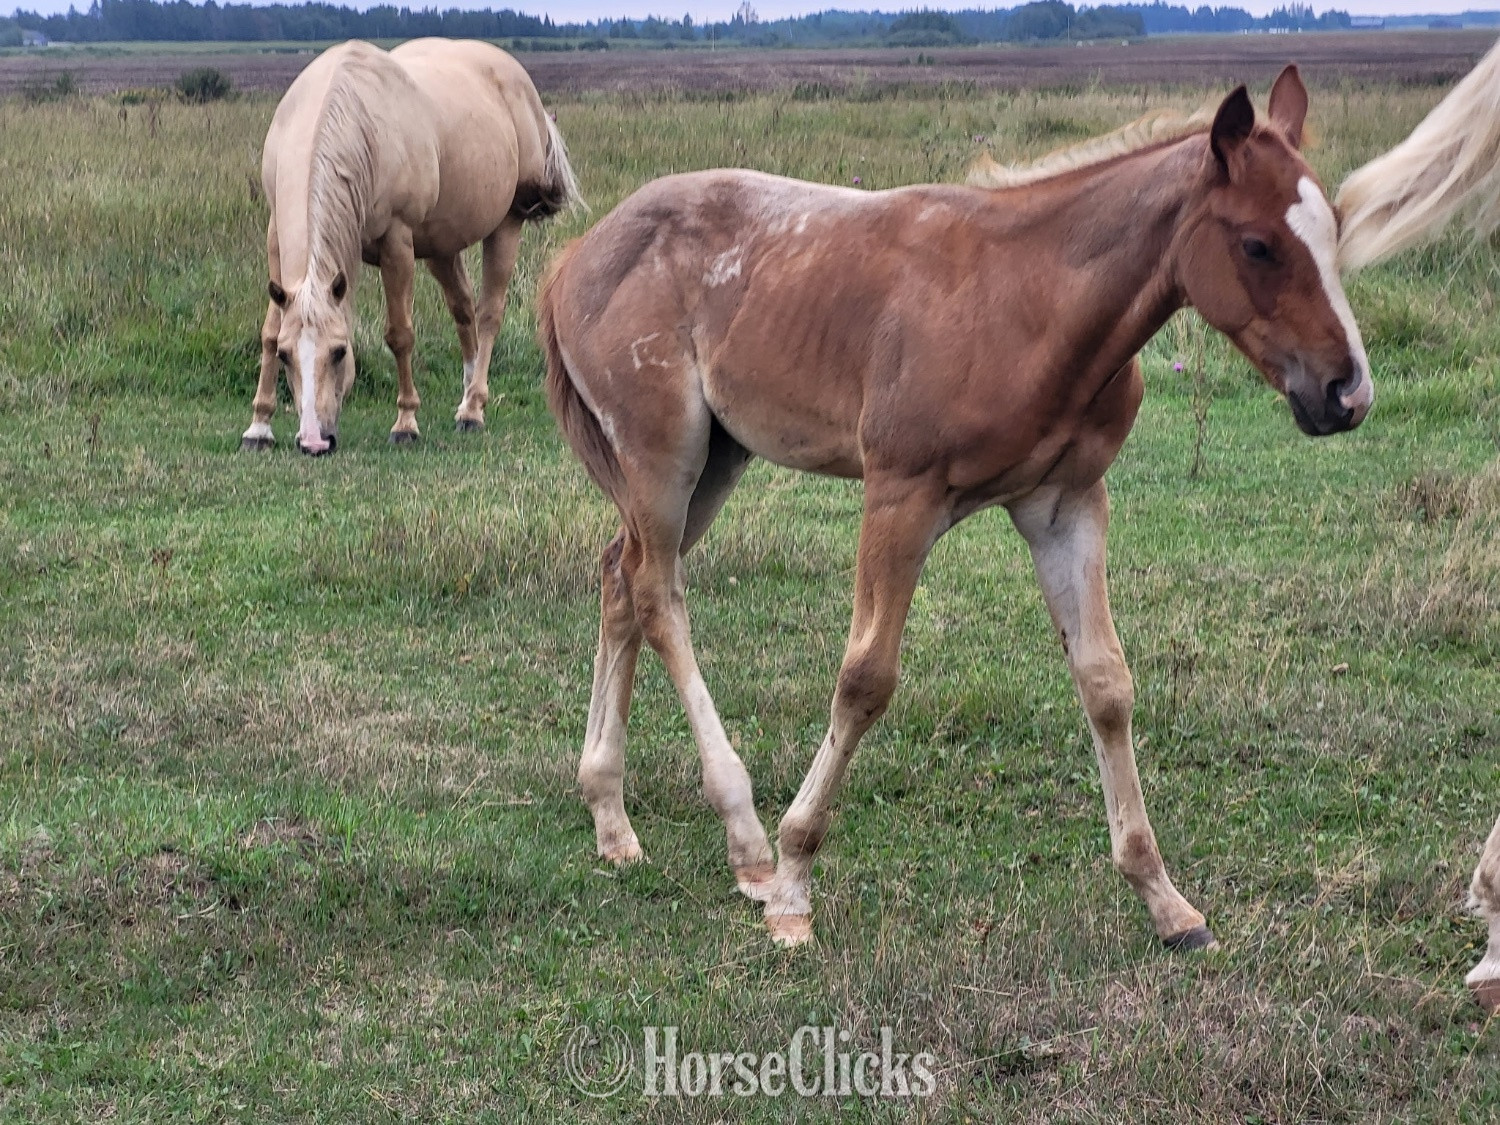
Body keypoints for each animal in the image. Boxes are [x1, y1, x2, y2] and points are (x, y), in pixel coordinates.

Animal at [241, 38, 579, 456]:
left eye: (339, 351)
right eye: (287, 355)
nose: (314, 441)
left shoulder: (397, 243)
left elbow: (400, 334)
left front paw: (406, 422)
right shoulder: (275, 237)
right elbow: (269, 331)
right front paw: (259, 426)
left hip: (505, 228)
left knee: (488, 315)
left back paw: (474, 408)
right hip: (440, 247)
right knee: (463, 308)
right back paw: (466, 395)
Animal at [539, 64, 1371, 951]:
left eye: (1334, 227)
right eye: (1257, 244)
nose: (1346, 392)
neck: (1031, 300)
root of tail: (575, 256)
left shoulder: (1065, 503)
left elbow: (1105, 682)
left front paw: (1165, 899)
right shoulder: (900, 495)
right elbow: (865, 679)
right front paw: (795, 880)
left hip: (716, 459)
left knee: (619, 574)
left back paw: (610, 816)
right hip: (662, 455)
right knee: (657, 593)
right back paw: (748, 840)